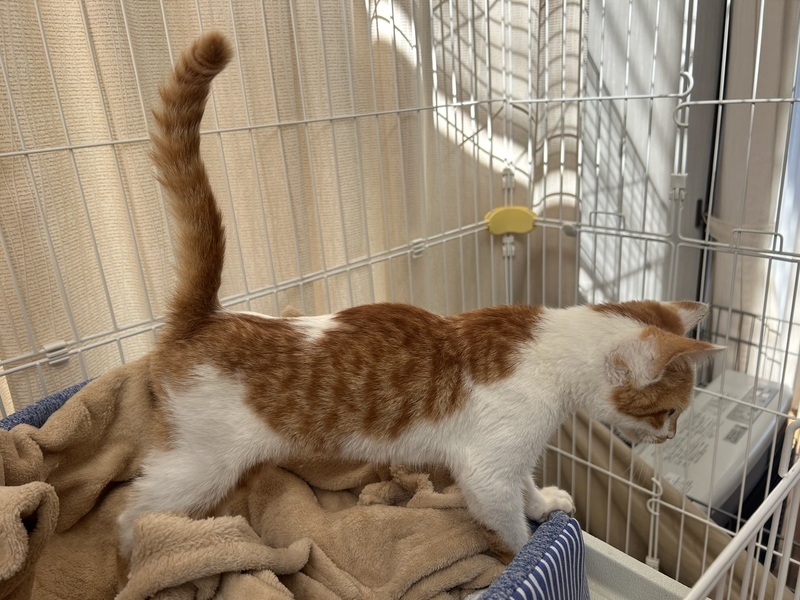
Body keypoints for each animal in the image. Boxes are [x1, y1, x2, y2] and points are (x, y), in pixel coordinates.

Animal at [116, 31, 725, 564]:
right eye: (670, 410)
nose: (671, 437)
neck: (548, 347)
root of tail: (205, 318)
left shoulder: (513, 457)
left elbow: (525, 485)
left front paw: (543, 501)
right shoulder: (486, 468)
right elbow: (505, 514)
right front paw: (524, 549)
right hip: (198, 466)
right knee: (130, 514)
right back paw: (139, 556)